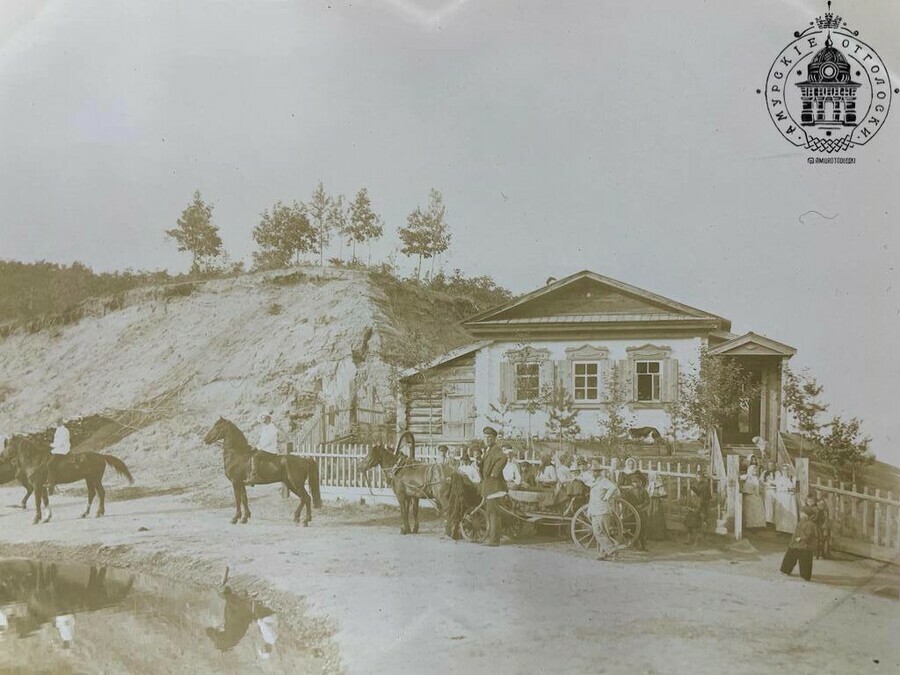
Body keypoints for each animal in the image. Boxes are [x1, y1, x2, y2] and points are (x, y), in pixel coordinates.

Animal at [0, 434, 132, 524]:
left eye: (9, 445)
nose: (2, 456)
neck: (35, 460)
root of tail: (101, 456)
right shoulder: (42, 486)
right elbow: (45, 501)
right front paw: (47, 518)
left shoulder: (37, 486)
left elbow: (38, 503)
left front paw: (36, 519)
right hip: (89, 479)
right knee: (92, 494)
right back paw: (85, 513)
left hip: (95, 479)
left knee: (101, 493)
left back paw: (99, 512)